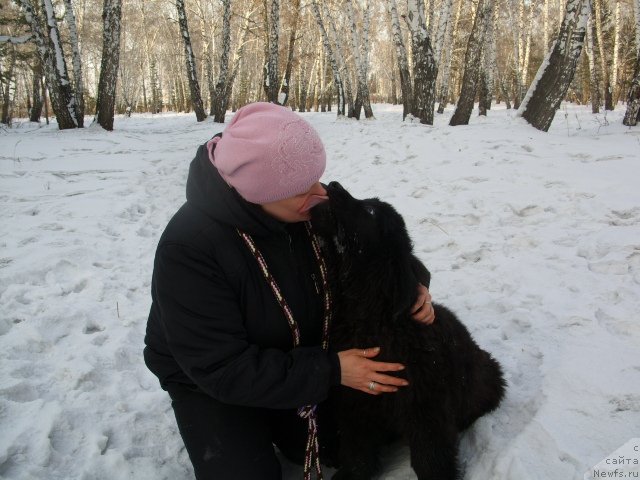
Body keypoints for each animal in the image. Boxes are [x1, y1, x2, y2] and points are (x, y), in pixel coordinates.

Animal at [312, 182, 508, 478]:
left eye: (369, 210)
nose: (332, 184)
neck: (367, 318)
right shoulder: (353, 400)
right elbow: (357, 450)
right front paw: (351, 474)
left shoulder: (426, 407)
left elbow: (430, 457)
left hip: (488, 377)